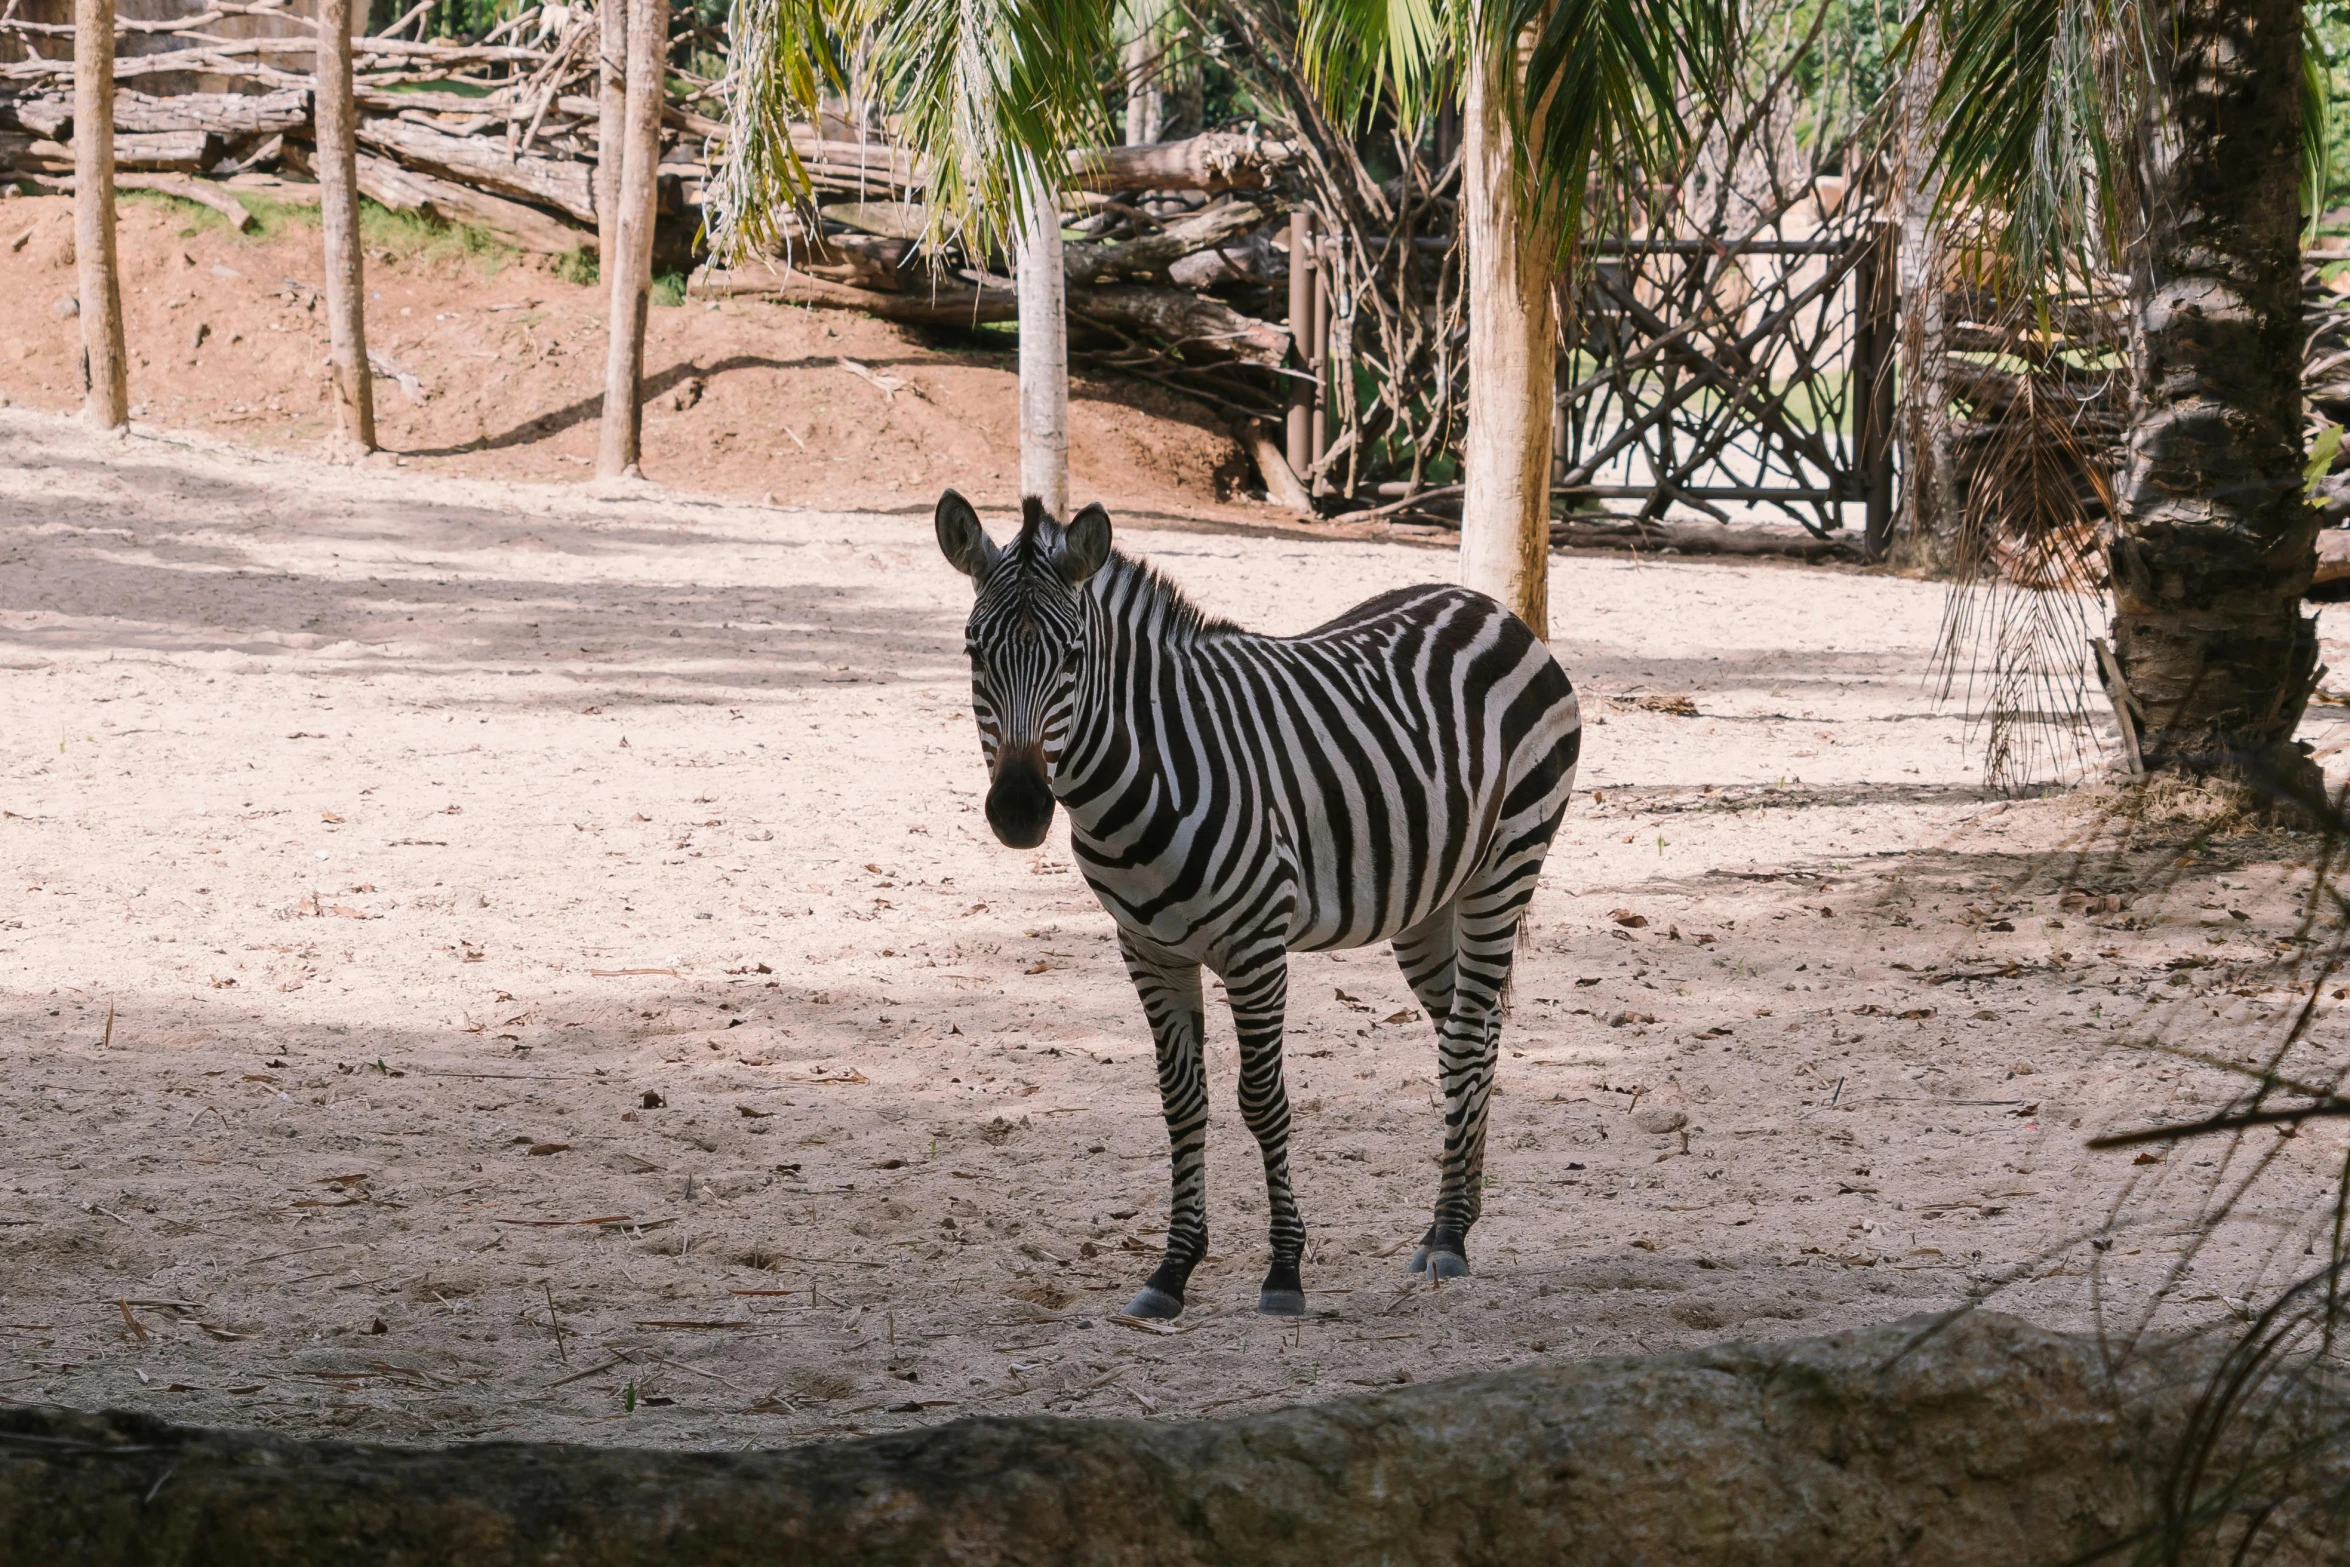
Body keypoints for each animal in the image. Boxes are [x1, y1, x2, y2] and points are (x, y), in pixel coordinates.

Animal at [935, 493, 1579, 1325]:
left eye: (1073, 654)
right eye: (973, 651)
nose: (1017, 810)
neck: (1141, 777)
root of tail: (1485, 605)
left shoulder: (1256, 945)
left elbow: (1262, 1099)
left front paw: (1283, 1271)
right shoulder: (1147, 949)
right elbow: (1183, 1102)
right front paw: (1172, 1269)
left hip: (1507, 863)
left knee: (1469, 1036)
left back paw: (1446, 1238)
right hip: (1428, 902)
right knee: (1476, 1030)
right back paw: (1455, 1220)